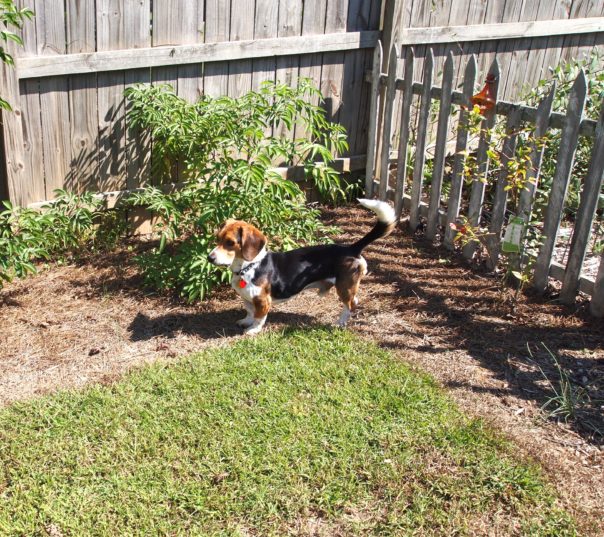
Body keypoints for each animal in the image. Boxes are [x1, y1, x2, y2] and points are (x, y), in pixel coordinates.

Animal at [208, 200, 396, 336]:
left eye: (230, 243)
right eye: (217, 239)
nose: (210, 258)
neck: (249, 266)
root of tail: (351, 248)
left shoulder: (262, 301)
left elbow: (259, 317)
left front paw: (253, 329)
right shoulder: (247, 298)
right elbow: (249, 311)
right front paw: (246, 322)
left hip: (344, 287)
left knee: (349, 305)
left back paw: (340, 323)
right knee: (354, 301)